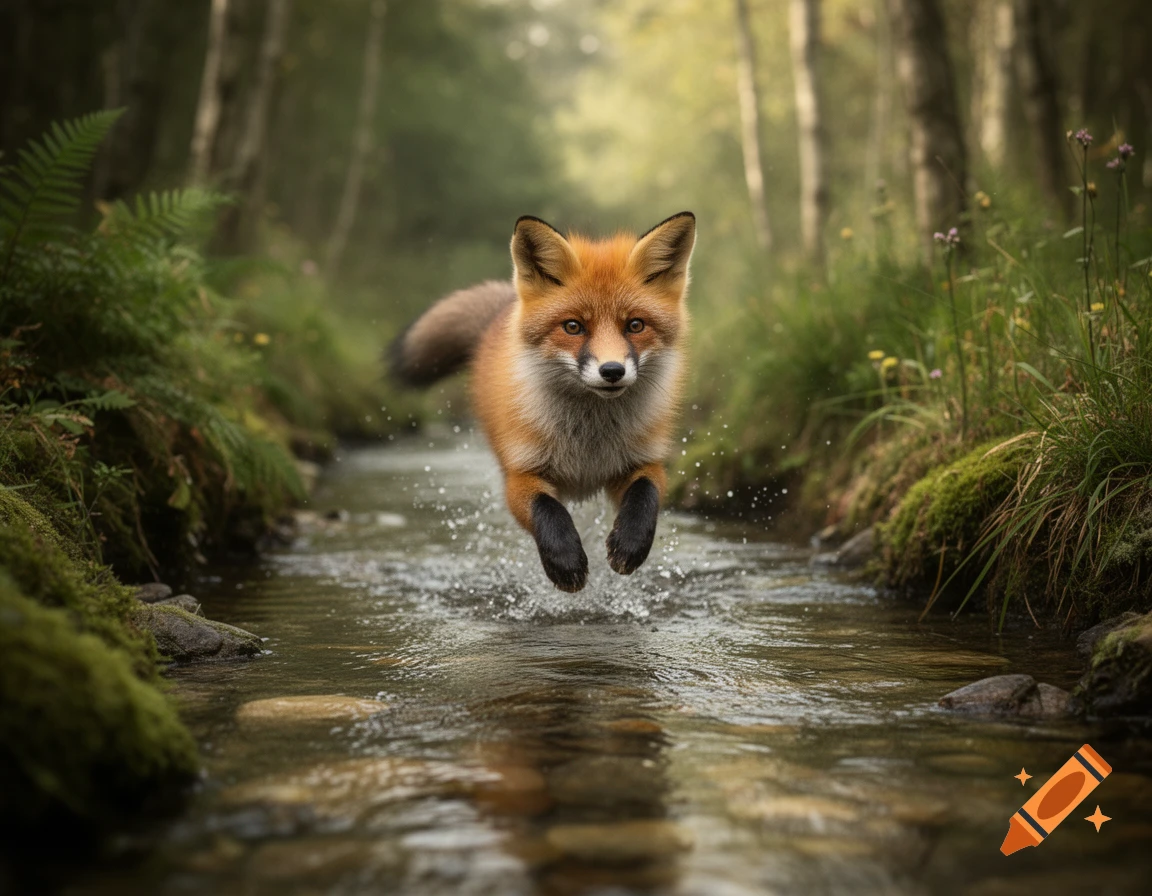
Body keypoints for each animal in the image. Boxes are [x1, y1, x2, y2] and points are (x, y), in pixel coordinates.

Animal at [390, 212, 696, 592]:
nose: (612, 371)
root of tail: (503, 312)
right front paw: (564, 562)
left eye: (635, 325)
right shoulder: (520, 473)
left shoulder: (643, 461)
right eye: (573, 326)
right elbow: (546, 510)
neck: (588, 444)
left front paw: (631, 545)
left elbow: (646, 495)